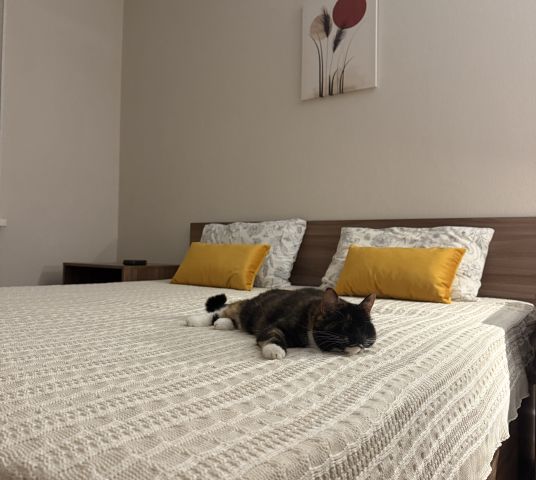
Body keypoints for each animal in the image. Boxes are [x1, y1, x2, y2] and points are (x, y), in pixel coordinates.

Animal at [186, 288, 376, 360]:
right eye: (345, 326)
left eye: (365, 328)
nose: (359, 341)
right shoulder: (274, 326)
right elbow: (273, 334)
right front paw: (274, 349)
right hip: (249, 311)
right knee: (223, 310)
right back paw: (195, 319)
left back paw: (223, 323)